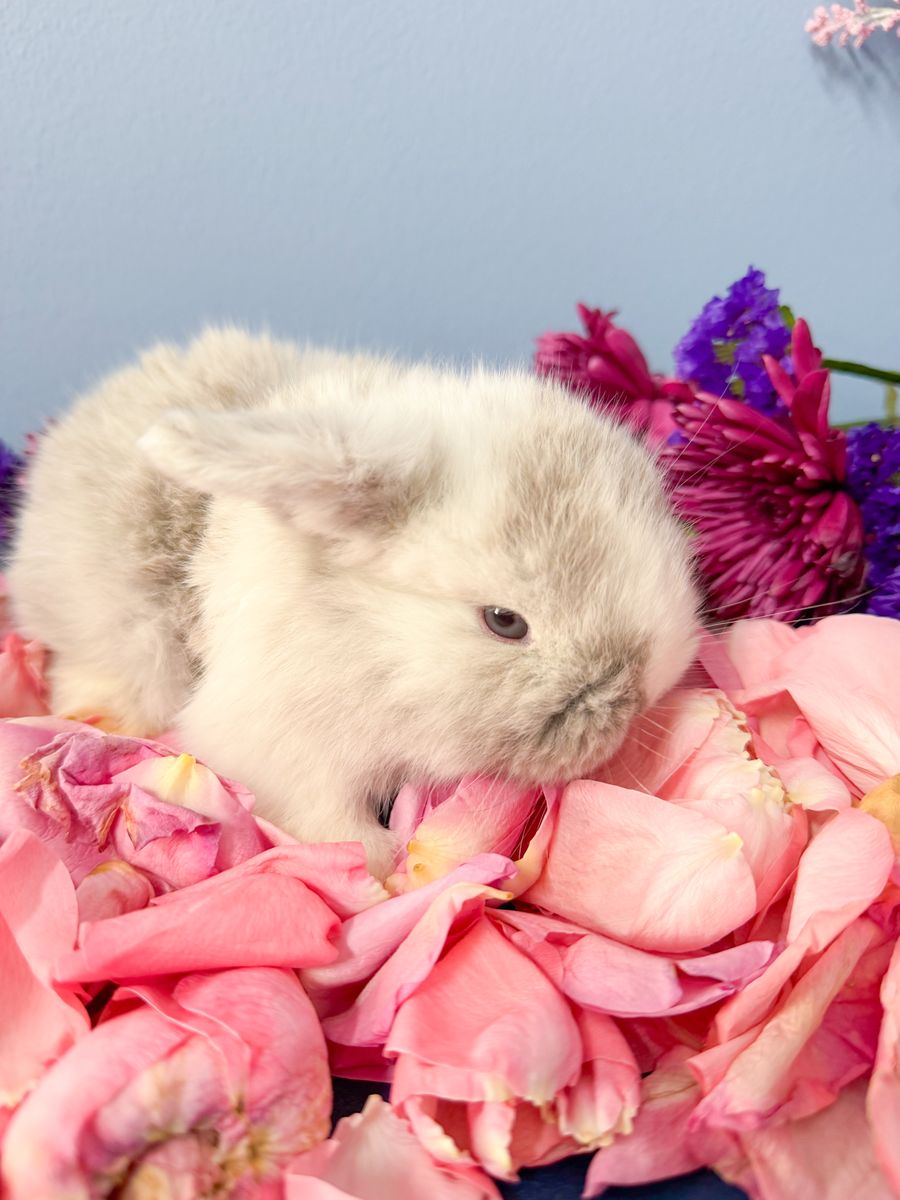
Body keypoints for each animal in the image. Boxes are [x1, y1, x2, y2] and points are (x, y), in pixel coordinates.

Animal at [7, 327, 699, 877]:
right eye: (504, 622)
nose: (639, 695)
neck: (372, 644)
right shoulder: (281, 748)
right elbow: (331, 821)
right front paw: (382, 870)